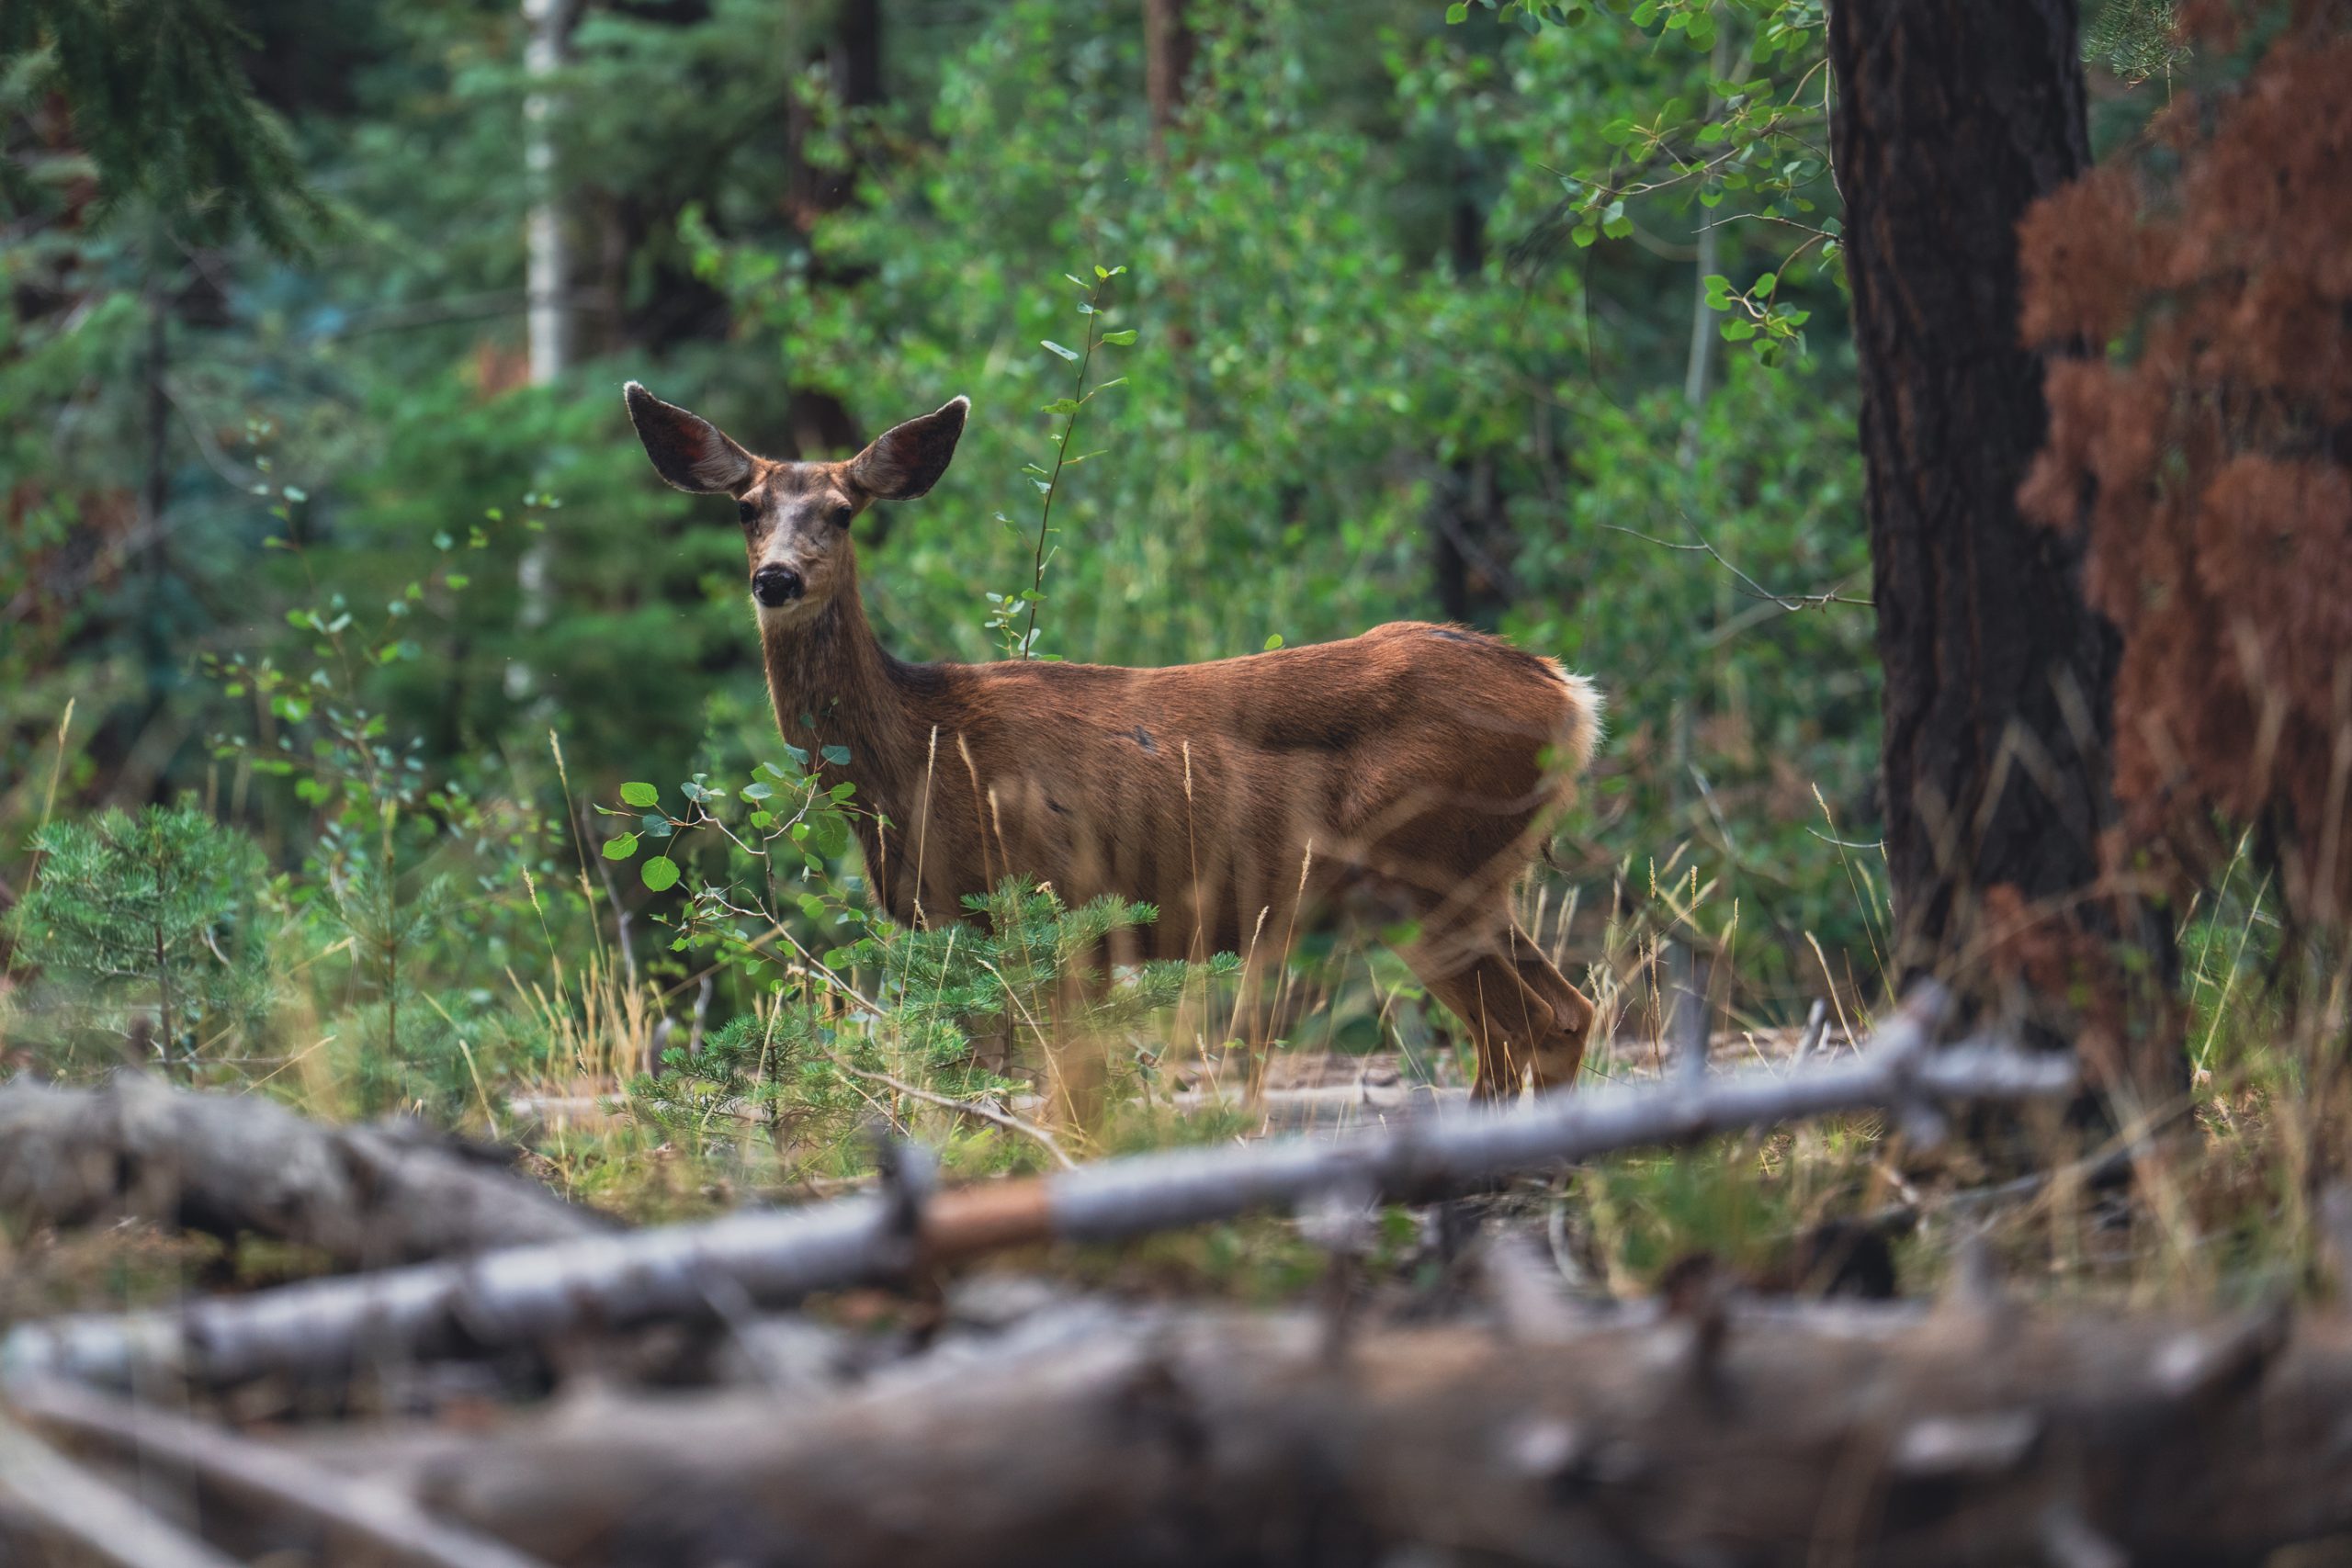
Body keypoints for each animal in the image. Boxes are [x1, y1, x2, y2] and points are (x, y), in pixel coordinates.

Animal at [624, 382, 1604, 1099]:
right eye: (747, 506)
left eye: (841, 511)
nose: (776, 579)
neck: (919, 753)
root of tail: (1571, 694)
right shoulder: (964, 931)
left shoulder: (1060, 906)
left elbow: (1063, 1099)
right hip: (1476, 879)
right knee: (1566, 1014)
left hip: (1426, 870)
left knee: (1520, 1028)